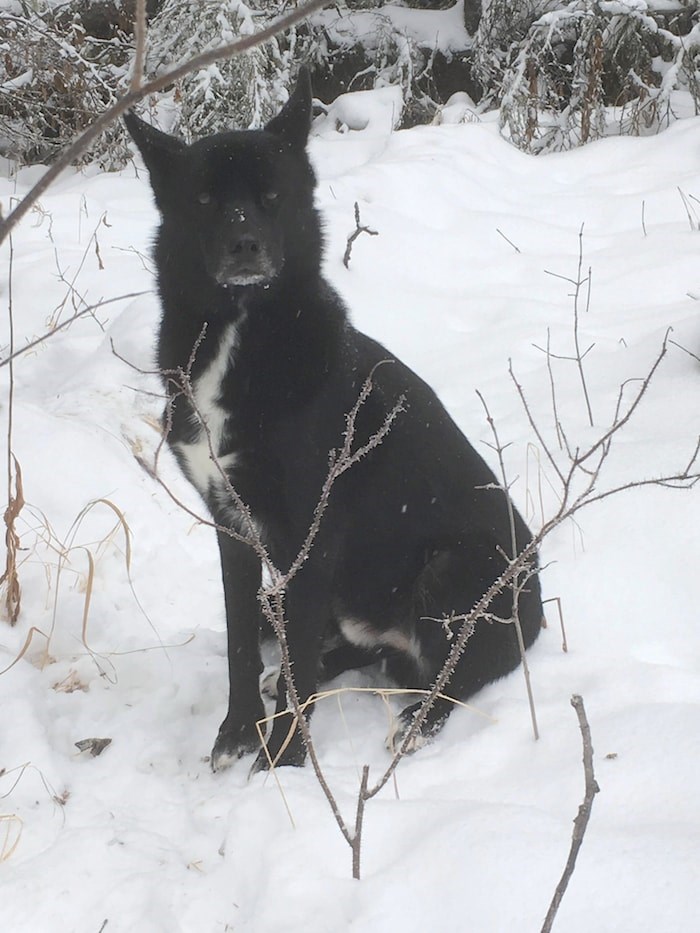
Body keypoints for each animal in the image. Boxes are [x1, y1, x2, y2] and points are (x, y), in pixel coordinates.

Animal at [124, 71, 540, 772]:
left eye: (271, 195)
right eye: (204, 198)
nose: (245, 245)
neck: (240, 331)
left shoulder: (309, 539)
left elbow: (296, 660)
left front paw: (286, 762)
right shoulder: (232, 526)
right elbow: (243, 642)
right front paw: (239, 732)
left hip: (452, 568)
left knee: (454, 674)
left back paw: (416, 724)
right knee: (352, 652)